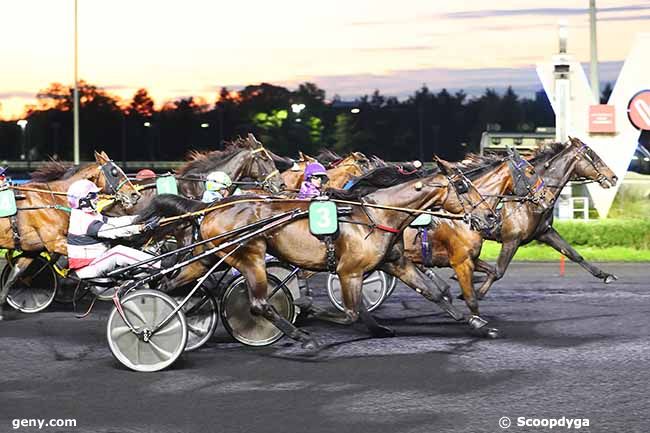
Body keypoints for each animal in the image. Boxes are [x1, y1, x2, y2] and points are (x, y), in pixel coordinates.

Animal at [0, 151, 138, 318]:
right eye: (114, 172)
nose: (135, 194)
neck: (50, 200)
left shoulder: (32, 249)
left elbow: (14, 275)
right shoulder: (55, 242)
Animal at [149, 158, 496, 348]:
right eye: (463, 187)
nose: (490, 217)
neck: (376, 215)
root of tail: (212, 206)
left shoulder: (395, 262)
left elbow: (435, 294)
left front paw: (479, 324)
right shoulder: (349, 271)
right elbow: (351, 312)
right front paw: (311, 310)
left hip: (210, 253)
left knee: (172, 283)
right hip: (250, 255)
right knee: (260, 304)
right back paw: (304, 338)